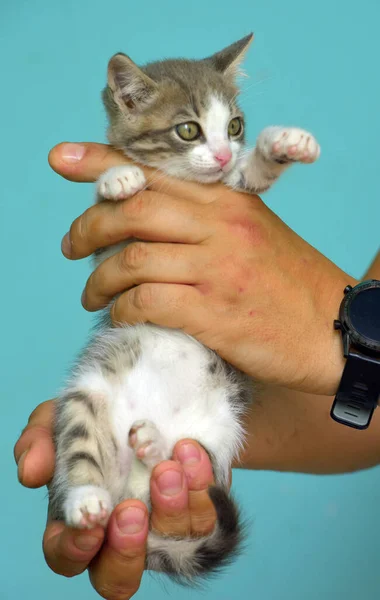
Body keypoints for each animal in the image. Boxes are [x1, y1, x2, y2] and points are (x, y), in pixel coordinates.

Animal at [49, 34, 320, 584]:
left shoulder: (233, 190)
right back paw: (86, 500)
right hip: (86, 396)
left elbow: (250, 179)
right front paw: (117, 178)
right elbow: (108, 214)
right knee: (82, 452)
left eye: (234, 126)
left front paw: (281, 145)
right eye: (188, 130)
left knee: (181, 461)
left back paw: (152, 443)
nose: (220, 154)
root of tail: (125, 496)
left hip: (218, 434)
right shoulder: (111, 256)